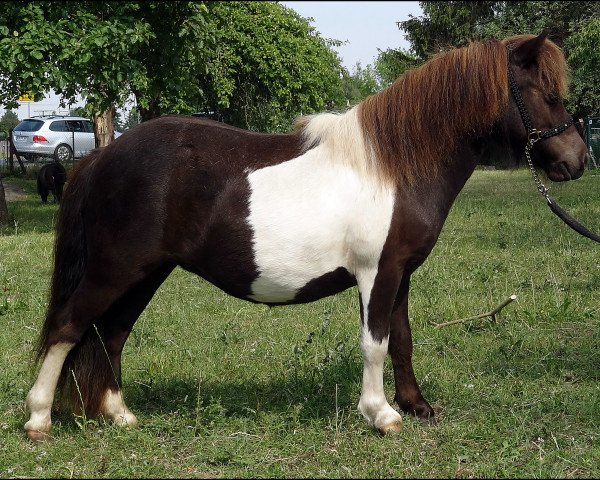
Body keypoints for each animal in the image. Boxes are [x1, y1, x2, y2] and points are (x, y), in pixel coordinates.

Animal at [23, 32, 584, 442]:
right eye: (548, 95)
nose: (578, 160)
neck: (392, 165)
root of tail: (103, 156)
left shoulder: (400, 274)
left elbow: (401, 340)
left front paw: (417, 406)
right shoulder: (377, 274)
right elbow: (375, 343)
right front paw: (382, 414)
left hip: (145, 273)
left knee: (112, 336)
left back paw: (119, 415)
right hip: (115, 270)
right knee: (69, 327)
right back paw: (39, 420)